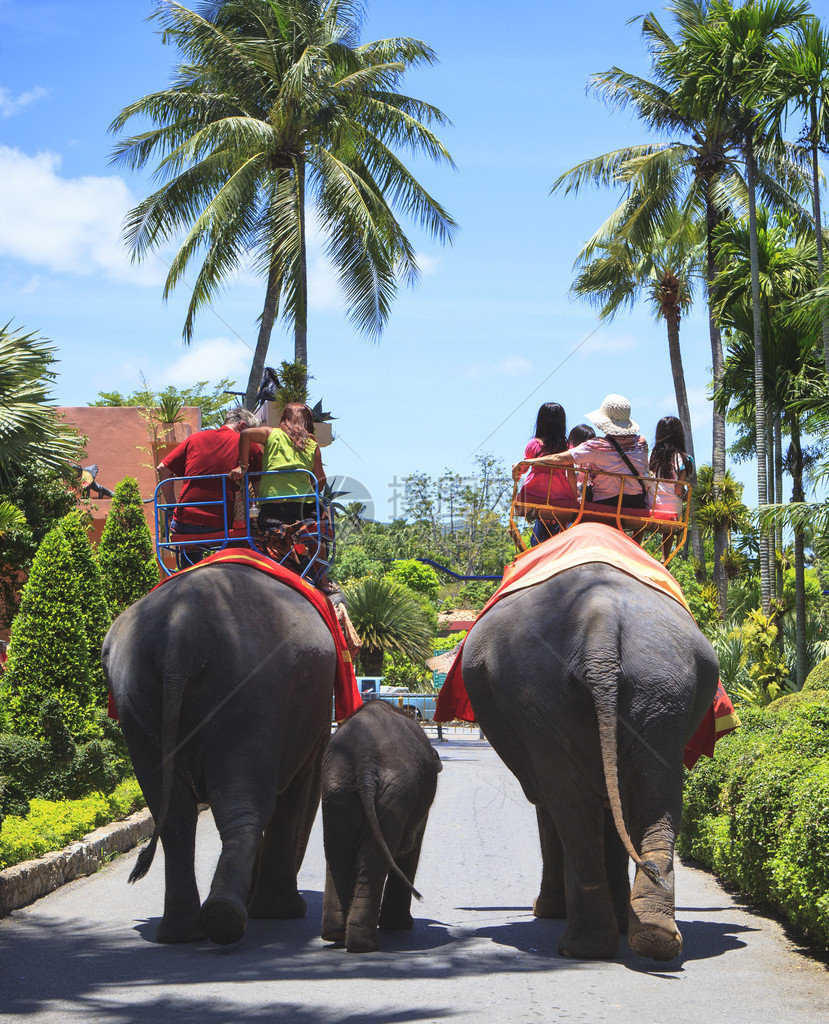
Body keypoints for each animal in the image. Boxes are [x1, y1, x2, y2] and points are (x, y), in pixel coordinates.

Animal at [102, 561, 339, 942]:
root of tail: (179, 639)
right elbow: (299, 789)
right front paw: (282, 912)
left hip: (132, 699)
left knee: (175, 816)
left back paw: (182, 931)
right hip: (252, 696)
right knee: (242, 807)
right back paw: (229, 917)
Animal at [319, 700, 442, 954]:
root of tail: (363, 760)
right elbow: (411, 849)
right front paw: (401, 926)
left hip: (337, 788)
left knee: (338, 851)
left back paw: (336, 935)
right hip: (396, 793)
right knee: (374, 859)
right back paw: (364, 945)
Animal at [458, 565, 716, 962]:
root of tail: (600, 621)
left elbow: (555, 805)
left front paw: (548, 912)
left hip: (544, 694)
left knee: (569, 805)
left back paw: (583, 946)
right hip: (662, 685)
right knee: (653, 793)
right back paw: (652, 935)